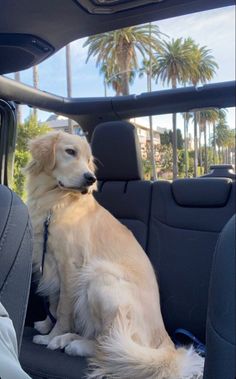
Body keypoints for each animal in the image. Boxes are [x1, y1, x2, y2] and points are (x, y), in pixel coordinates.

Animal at [24, 131, 204, 379]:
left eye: (88, 160)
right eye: (70, 152)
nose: (90, 179)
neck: (55, 200)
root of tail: (166, 342)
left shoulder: (70, 266)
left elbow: (62, 309)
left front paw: (51, 335)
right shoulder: (49, 262)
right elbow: (53, 301)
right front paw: (45, 324)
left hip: (99, 276)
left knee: (109, 345)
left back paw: (69, 342)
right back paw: (68, 339)